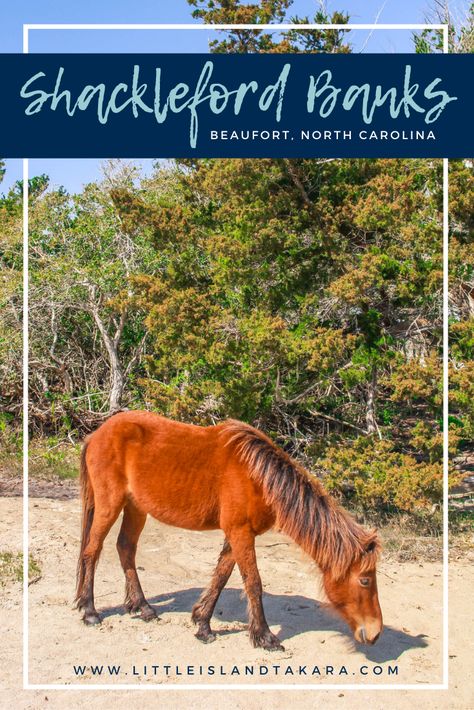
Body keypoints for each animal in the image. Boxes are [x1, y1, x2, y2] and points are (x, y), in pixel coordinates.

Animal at [76, 412, 384, 652]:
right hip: (109, 506)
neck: (258, 478)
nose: (376, 633)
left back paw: (143, 607)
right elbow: (253, 583)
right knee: (92, 550)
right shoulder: (240, 533)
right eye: (365, 580)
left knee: (125, 548)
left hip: (136, 508)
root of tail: (97, 434)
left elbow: (221, 577)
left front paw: (203, 624)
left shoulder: (238, 535)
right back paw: (90, 611)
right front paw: (264, 637)